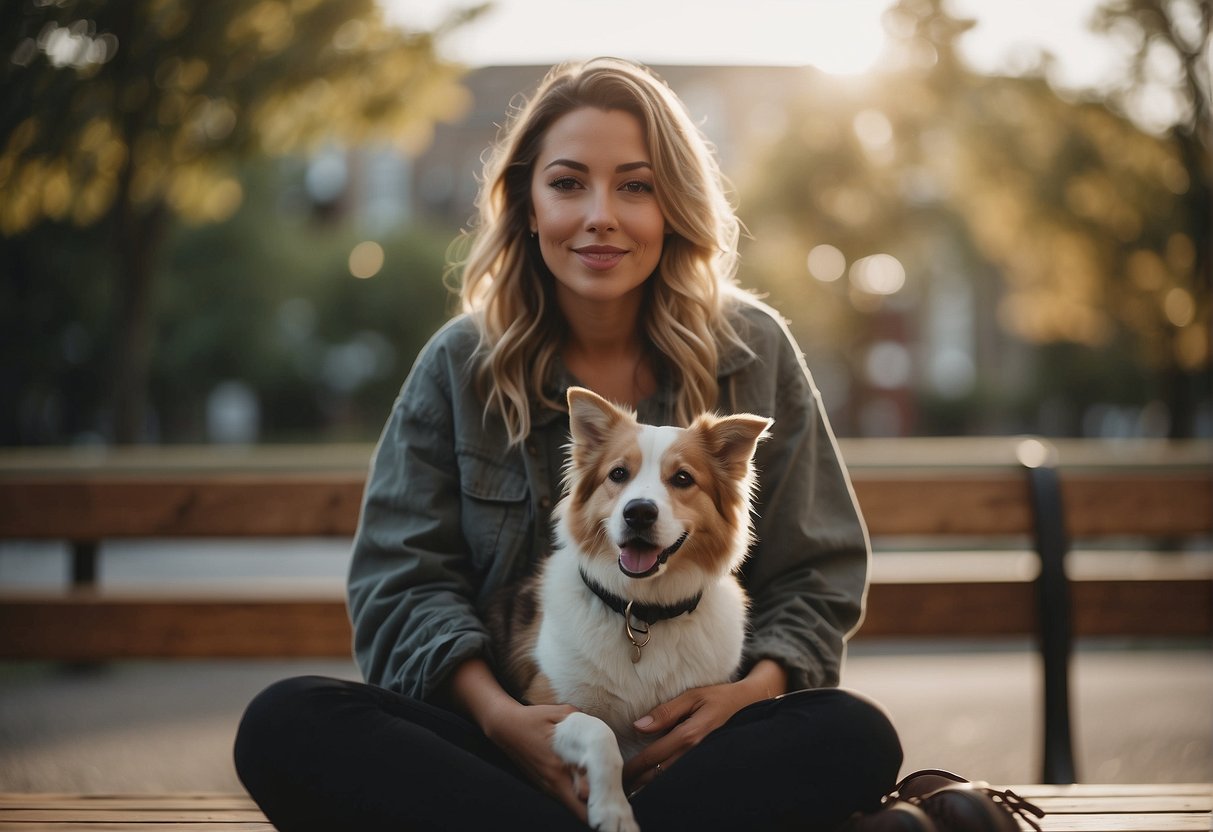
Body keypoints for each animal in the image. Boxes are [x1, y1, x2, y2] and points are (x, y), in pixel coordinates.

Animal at [490, 388, 766, 829]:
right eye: (618, 474)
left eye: (683, 479)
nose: (639, 512)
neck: (641, 613)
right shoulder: (543, 708)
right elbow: (599, 733)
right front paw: (612, 809)